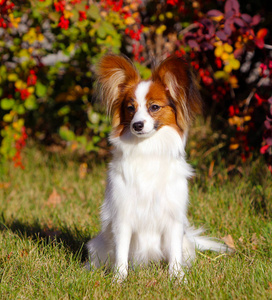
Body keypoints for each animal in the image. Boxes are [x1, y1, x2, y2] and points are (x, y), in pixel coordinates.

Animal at [87, 54, 227, 282]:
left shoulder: (173, 218)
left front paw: (178, 278)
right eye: (130, 108)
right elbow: (121, 252)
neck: (148, 149)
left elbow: (175, 254)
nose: (137, 125)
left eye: (154, 107)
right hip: (97, 245)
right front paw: (119, 279)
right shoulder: (122, 216)